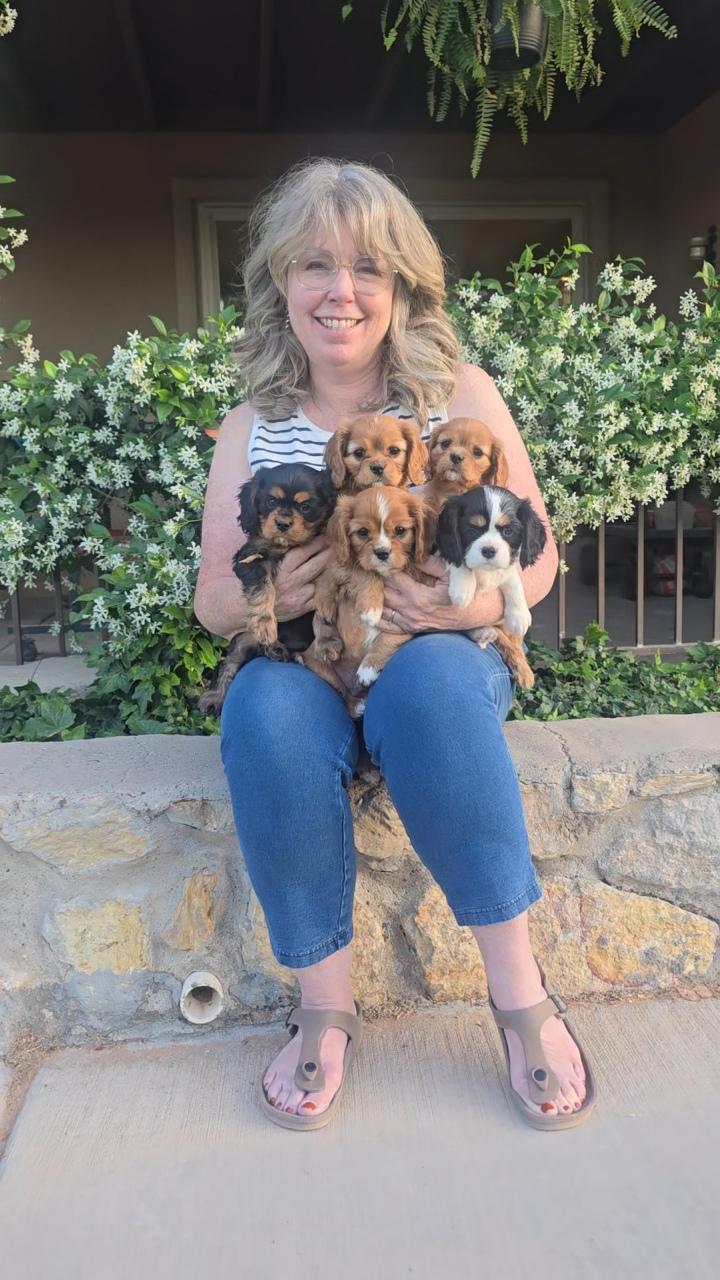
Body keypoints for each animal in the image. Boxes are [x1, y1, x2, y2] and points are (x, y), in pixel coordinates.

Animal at [198, 463, 336, 714]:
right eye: (271, 501)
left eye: (305, 506)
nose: (282, 524)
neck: (287, 545)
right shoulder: (250, 559)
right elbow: (263, 589)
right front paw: (264, 624)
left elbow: (323, 608)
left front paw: (326, 641)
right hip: (242, 639)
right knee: (229, 664)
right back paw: (215, 696)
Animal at [298, 485, 436, 717]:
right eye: (362, 532)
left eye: (400, 530)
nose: (382, 553)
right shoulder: (347, 565)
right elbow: (365, 571)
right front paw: (371, 608)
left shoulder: (411, 611)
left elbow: (391, 636)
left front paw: (369, 667)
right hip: (317, 665)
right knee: (342, 692)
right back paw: (356, 704)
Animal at [435, 484, 547, 689]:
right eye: (472, 529)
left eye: (508, 531)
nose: (488, 551)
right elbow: (460, 559)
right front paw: (463, 589)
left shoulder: (505, 568)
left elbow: (512, 578)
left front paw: (519, 615)